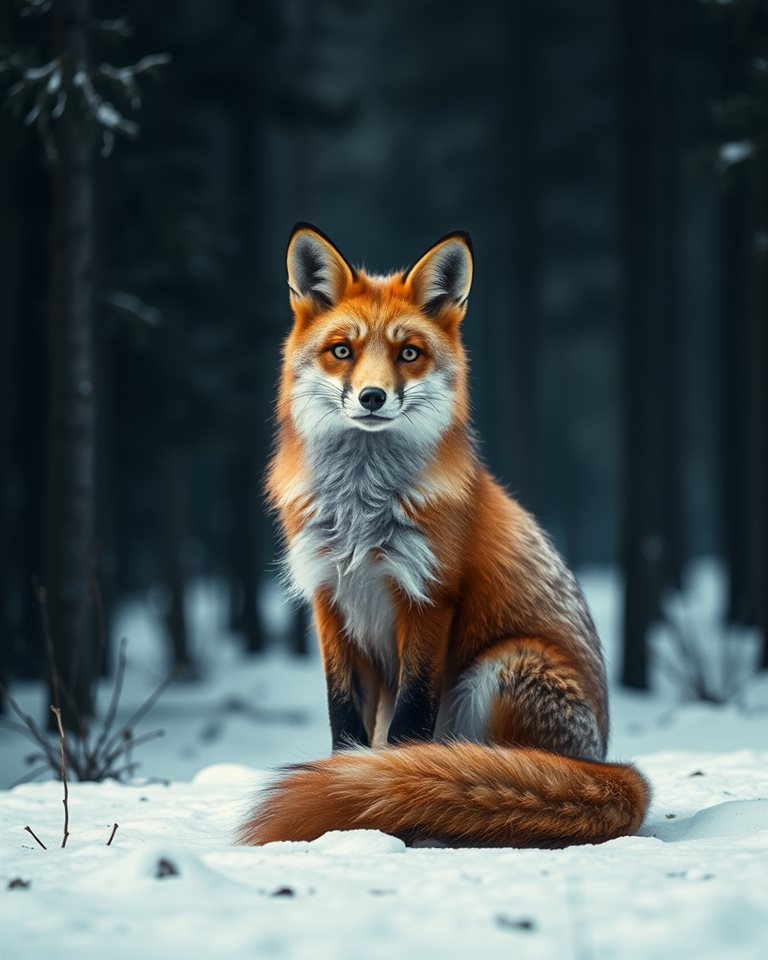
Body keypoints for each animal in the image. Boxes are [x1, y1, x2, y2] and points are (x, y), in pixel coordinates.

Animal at [238, 223, 650, 848]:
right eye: (343, 351)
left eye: (408, 353)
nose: (373, 397)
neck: (362, 515)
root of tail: (605, 759)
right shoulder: (329, 600)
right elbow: (345, 727)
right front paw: (351, 807)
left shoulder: (429, 597)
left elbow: (410, 725)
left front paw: (389, 802)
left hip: (503, 666)